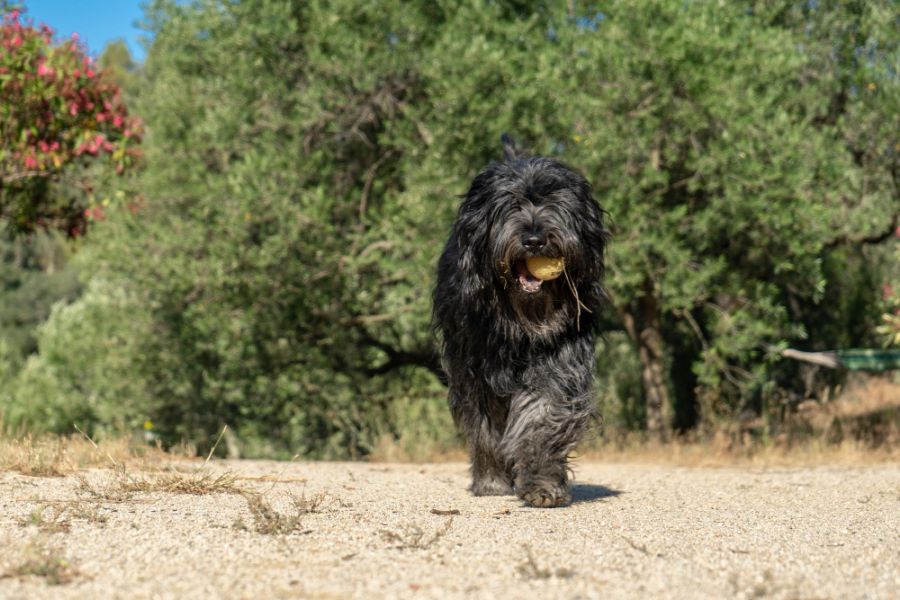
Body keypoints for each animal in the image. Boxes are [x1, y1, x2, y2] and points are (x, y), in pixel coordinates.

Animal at [434, 135, 608, 506]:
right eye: (511, 205)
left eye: (554, 201)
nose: (534, 239)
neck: (520, 318)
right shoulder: (475, 367)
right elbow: (485, 427)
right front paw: (491, 481)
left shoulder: (559, 357)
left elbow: (543, 415)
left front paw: (542, 483)